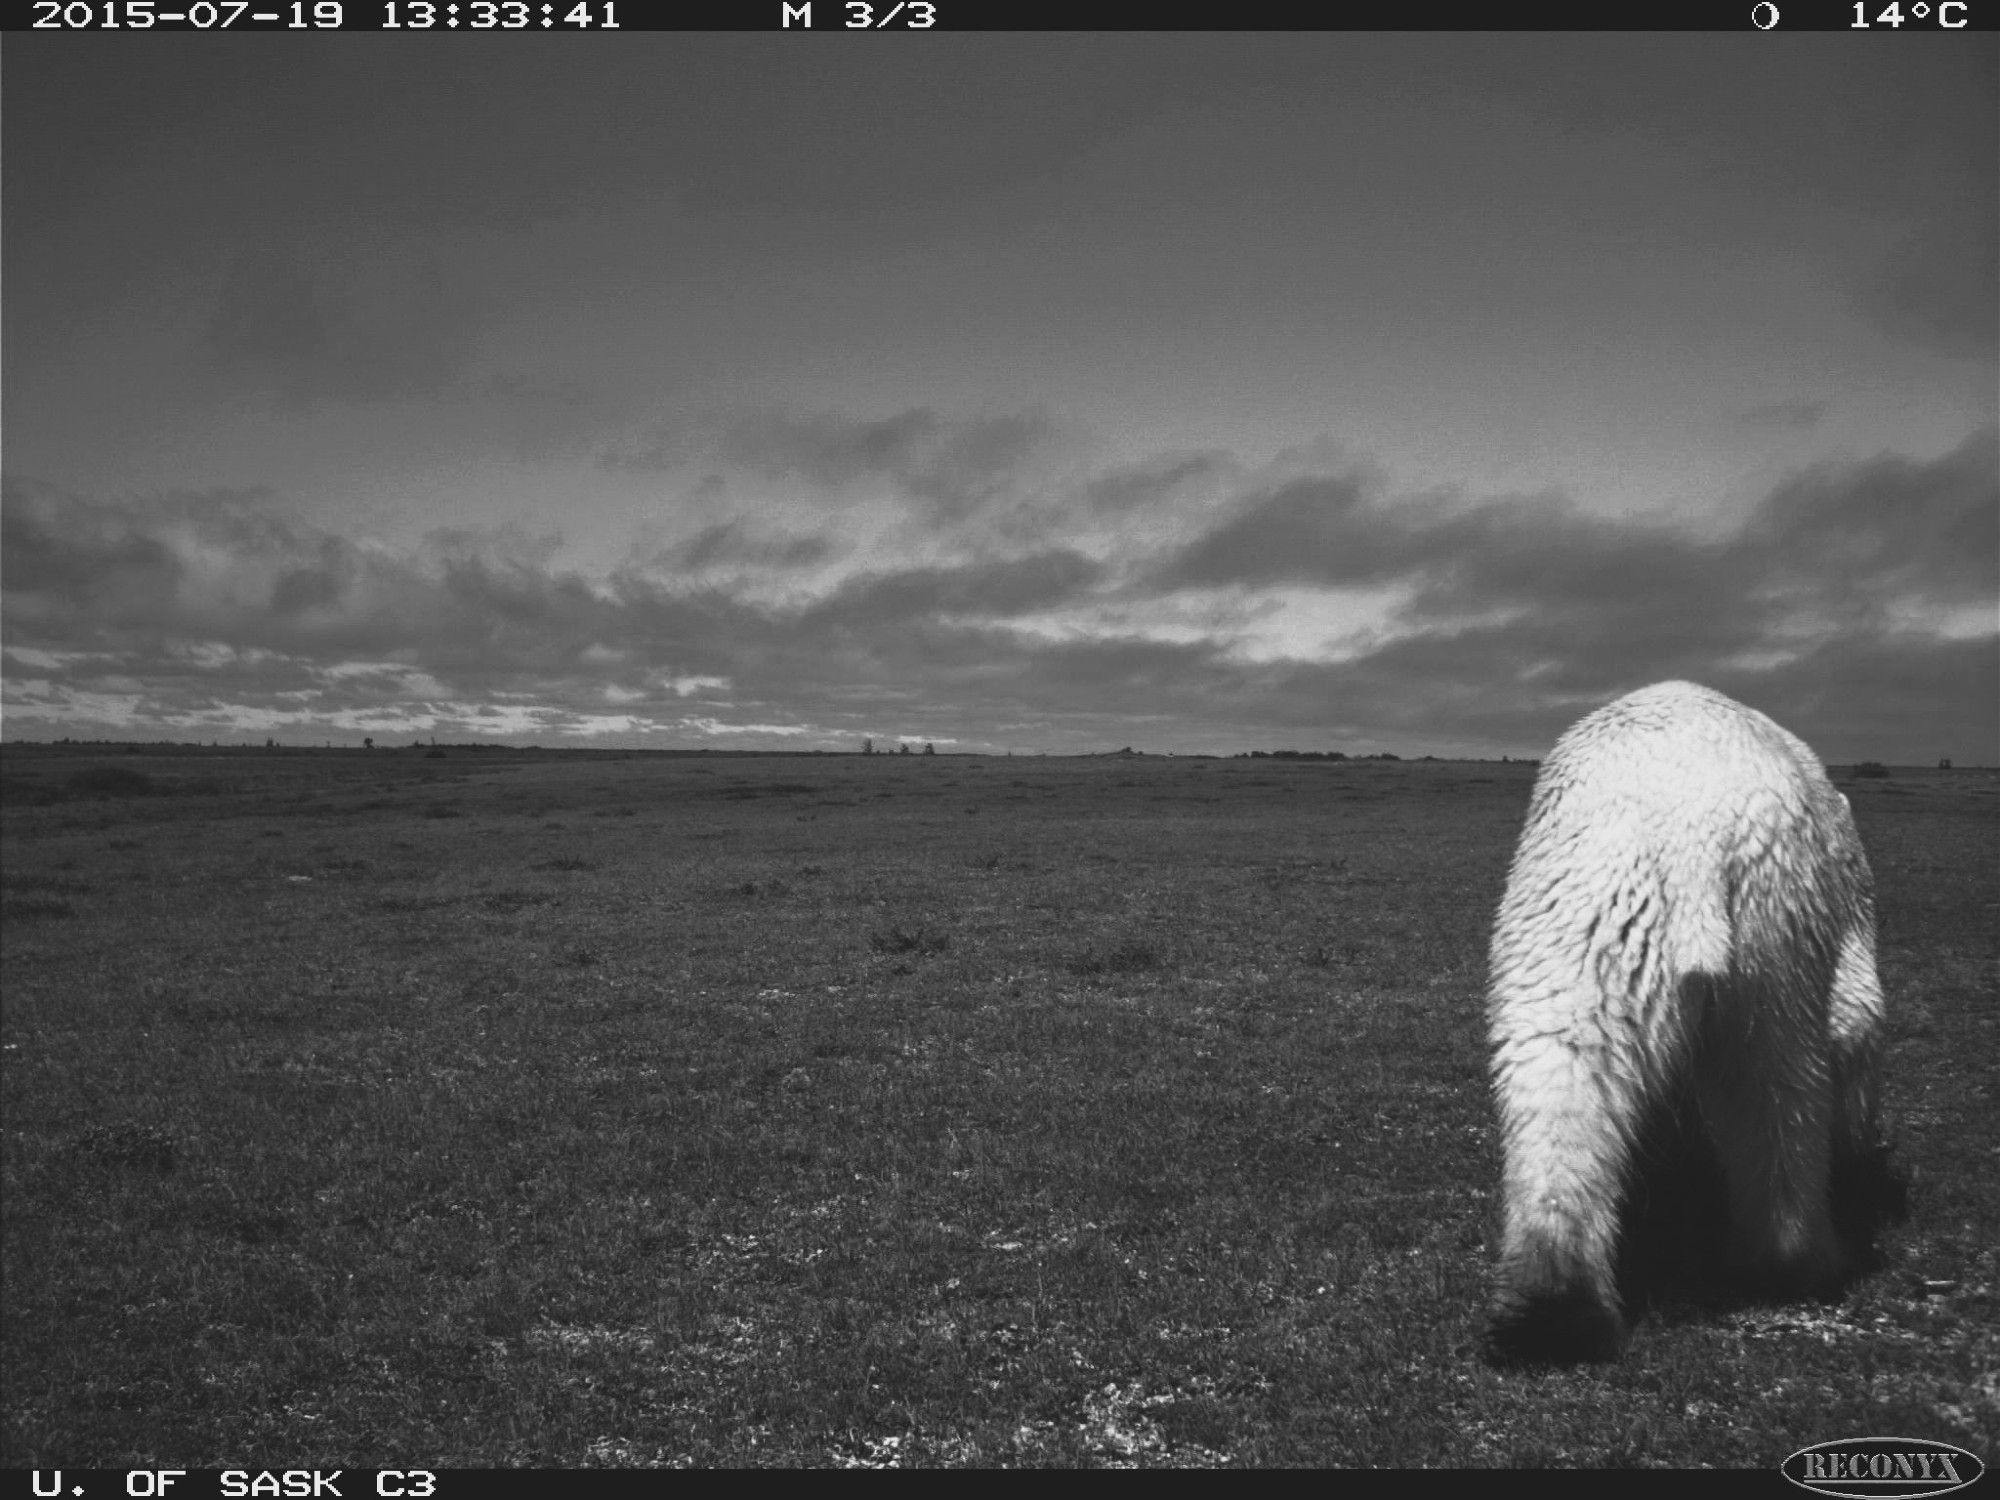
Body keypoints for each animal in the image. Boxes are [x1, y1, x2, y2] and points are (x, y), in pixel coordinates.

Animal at [1488, 688, 1904, 1368]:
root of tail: (1691, 835)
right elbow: (1856, 1023)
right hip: (1773, 912)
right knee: (1779, 1075)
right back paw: (1796, 1262)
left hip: (1581, 898)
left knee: (1561, 1055)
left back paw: (1550, 1314)